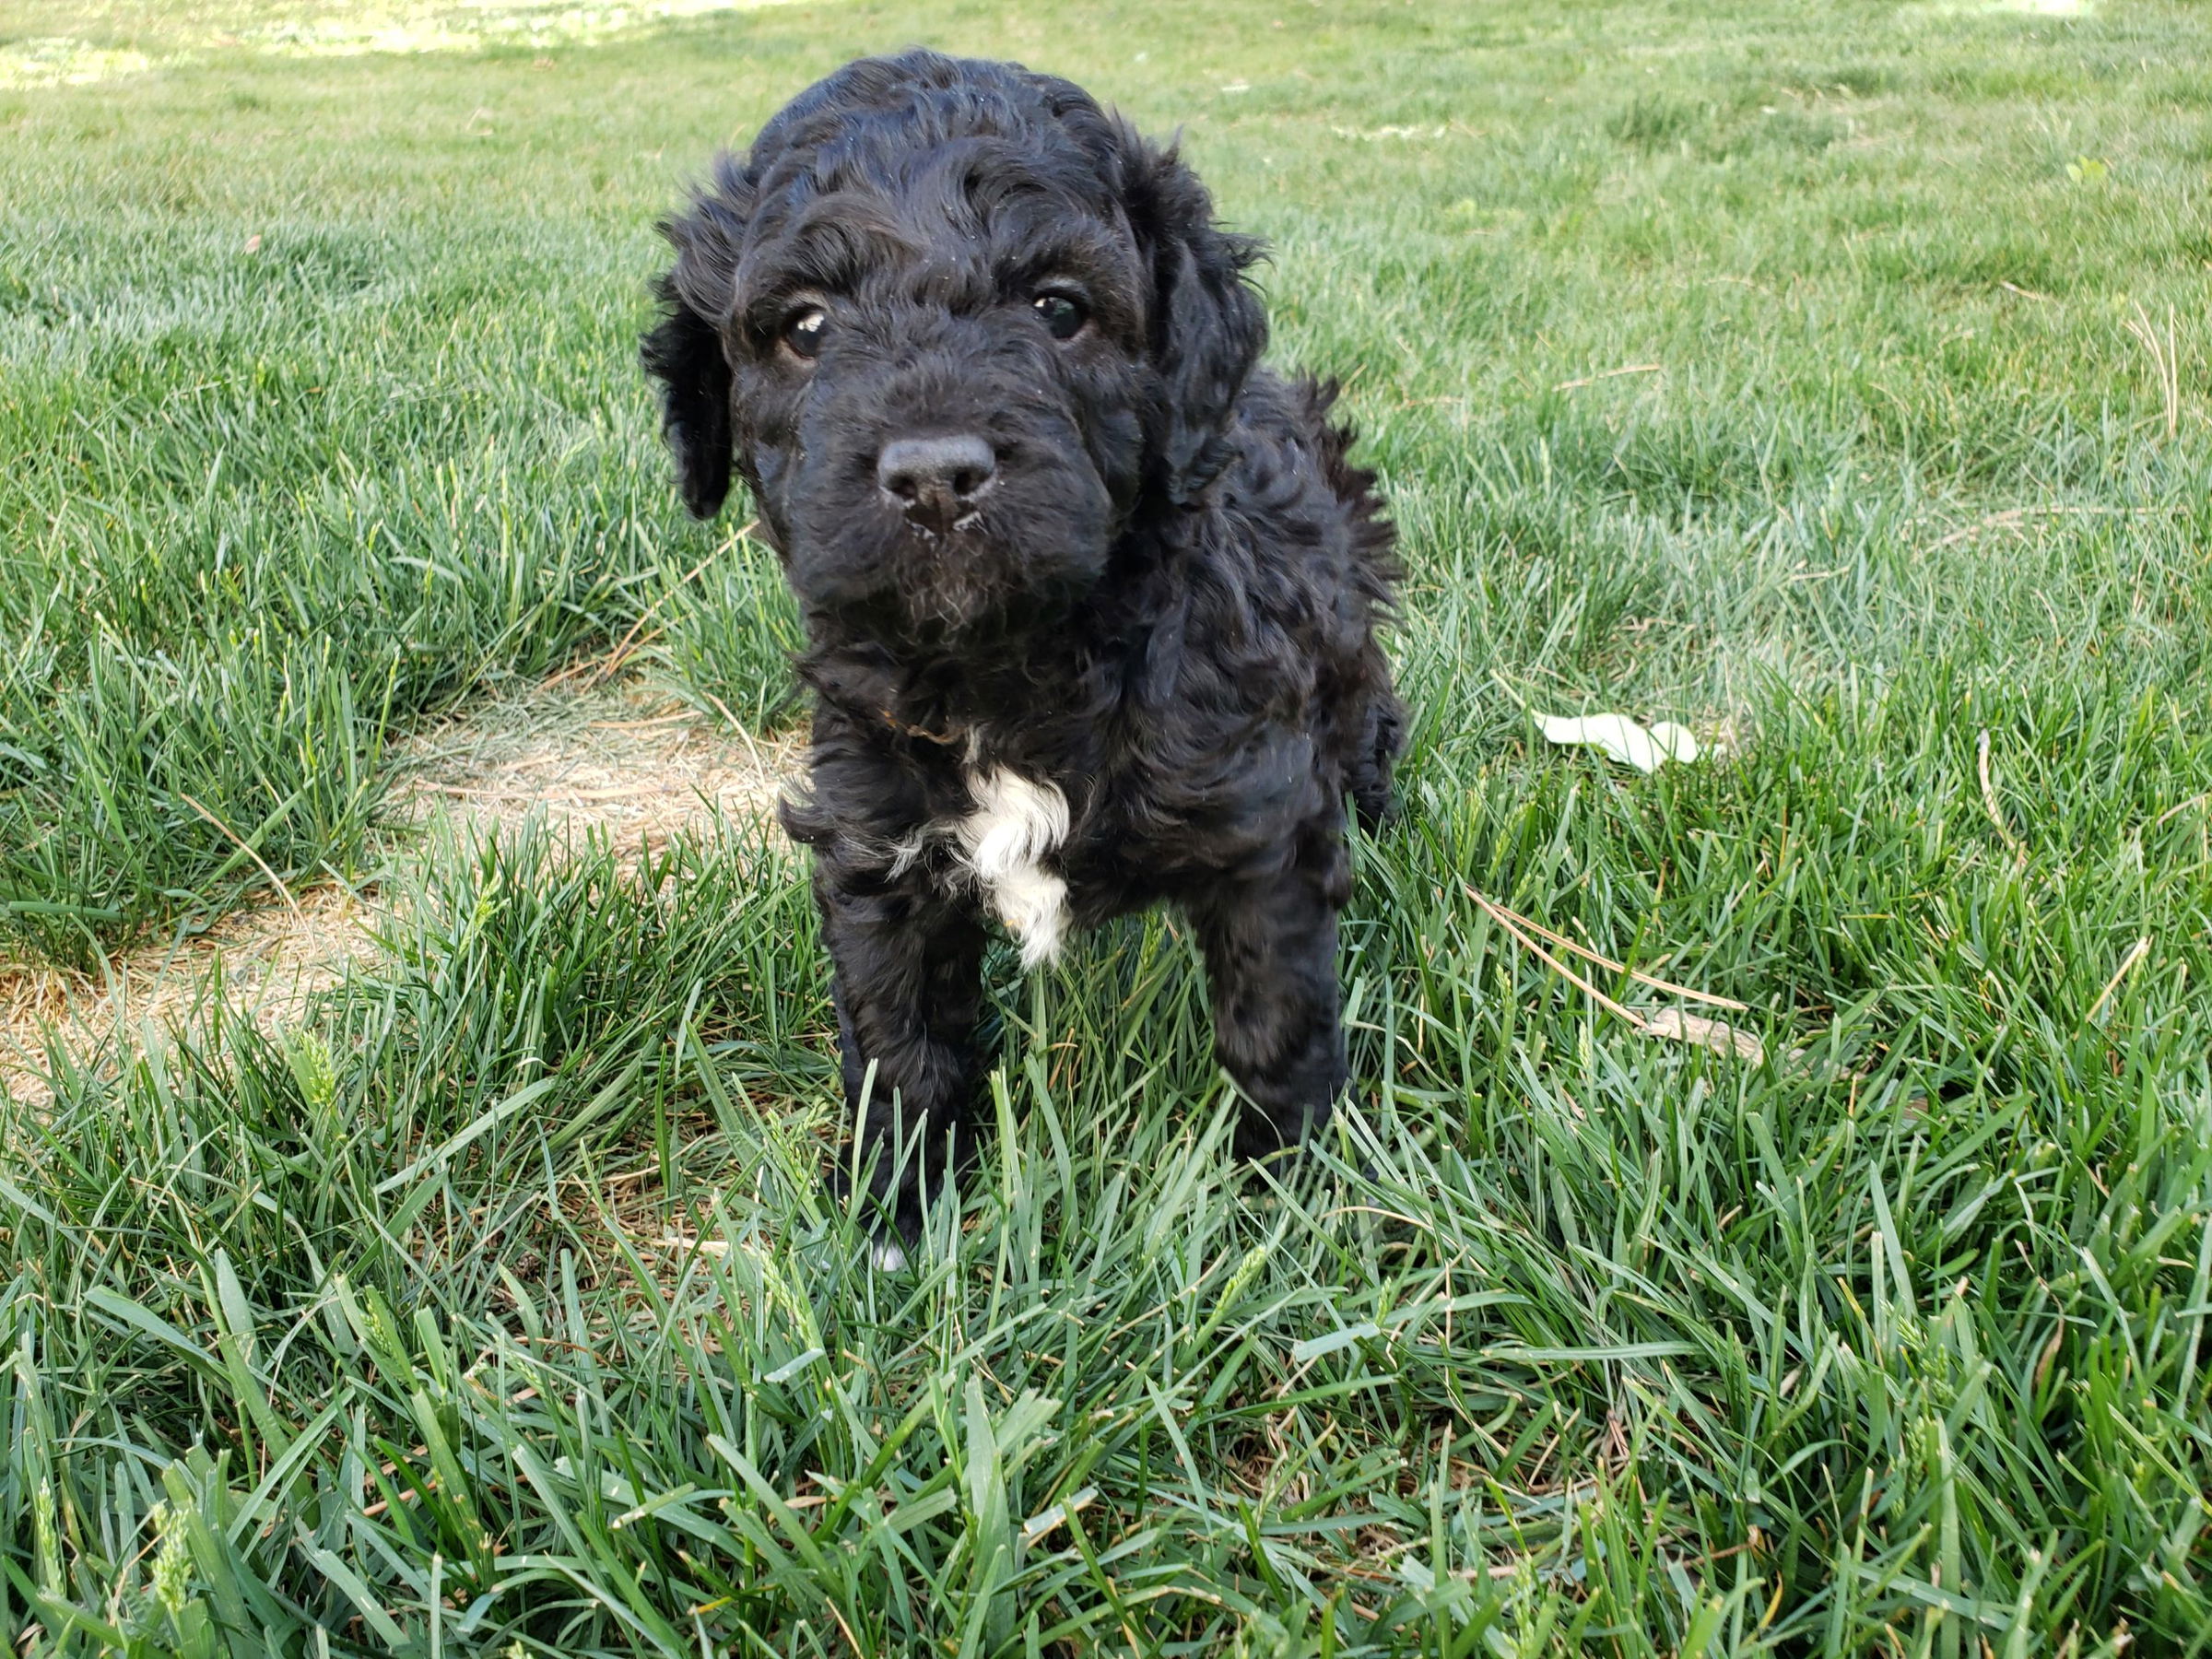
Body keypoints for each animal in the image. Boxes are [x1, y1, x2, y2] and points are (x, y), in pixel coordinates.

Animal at [645, 55, 1397, 1274]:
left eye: (1058, 307)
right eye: (804, 325)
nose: (934, 476)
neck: (1008, 664)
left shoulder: (1257, 830)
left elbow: (1273, 1021)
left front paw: (1282, 1209)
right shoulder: (877, 834)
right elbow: (899, 1034)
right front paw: (890, 1215)